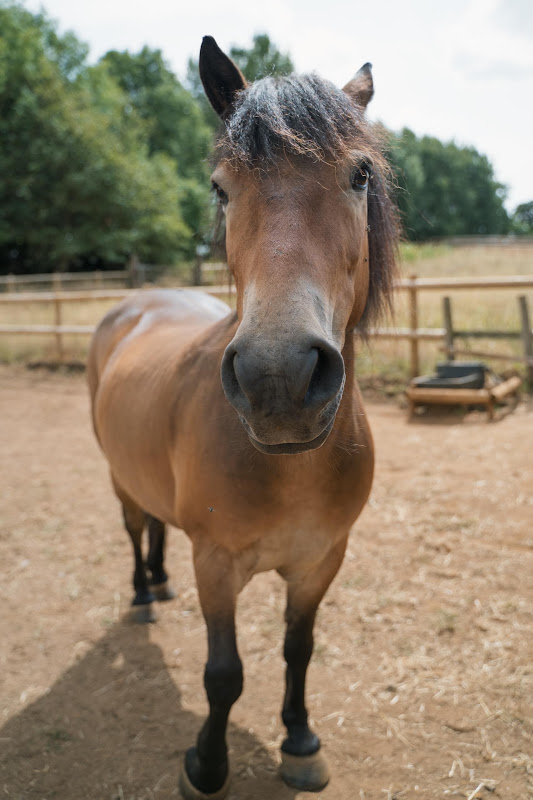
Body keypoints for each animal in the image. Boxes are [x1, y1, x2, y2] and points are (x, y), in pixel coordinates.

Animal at [88, 35, 398, 800]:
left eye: (359, 175)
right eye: (219, 188)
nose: (277, 377)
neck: (289, 470)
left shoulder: (321, 560)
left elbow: (298, 648)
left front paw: (299, 741)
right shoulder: (217, 563)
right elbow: (223, 674)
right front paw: (206, 765)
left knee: (156, 525)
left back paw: (158, 582)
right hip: (119, 479)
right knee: (135, 527)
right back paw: (143, 592)